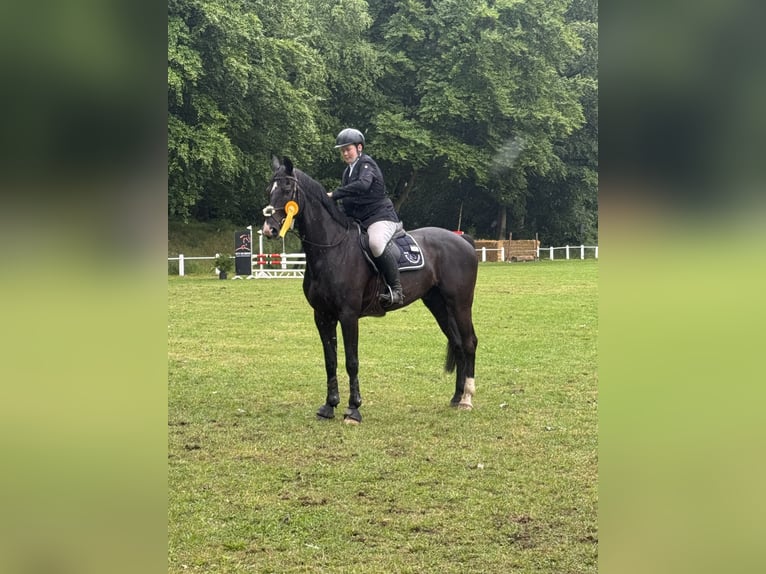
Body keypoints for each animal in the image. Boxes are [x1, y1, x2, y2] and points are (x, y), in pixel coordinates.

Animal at [261, 156, 478, 424]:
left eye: (287, 189)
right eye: (269, 190)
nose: (269, 229)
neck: (332, 249)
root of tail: (462, 240)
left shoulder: (348, 315)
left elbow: (351, 361)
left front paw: (353, 409)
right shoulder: (322, 316)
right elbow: (330, 361)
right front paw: (329, 406)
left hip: (460, 303)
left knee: (469, 343)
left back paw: (467, 399)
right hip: (438, 304)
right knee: (457, 344)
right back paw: (456, 397)